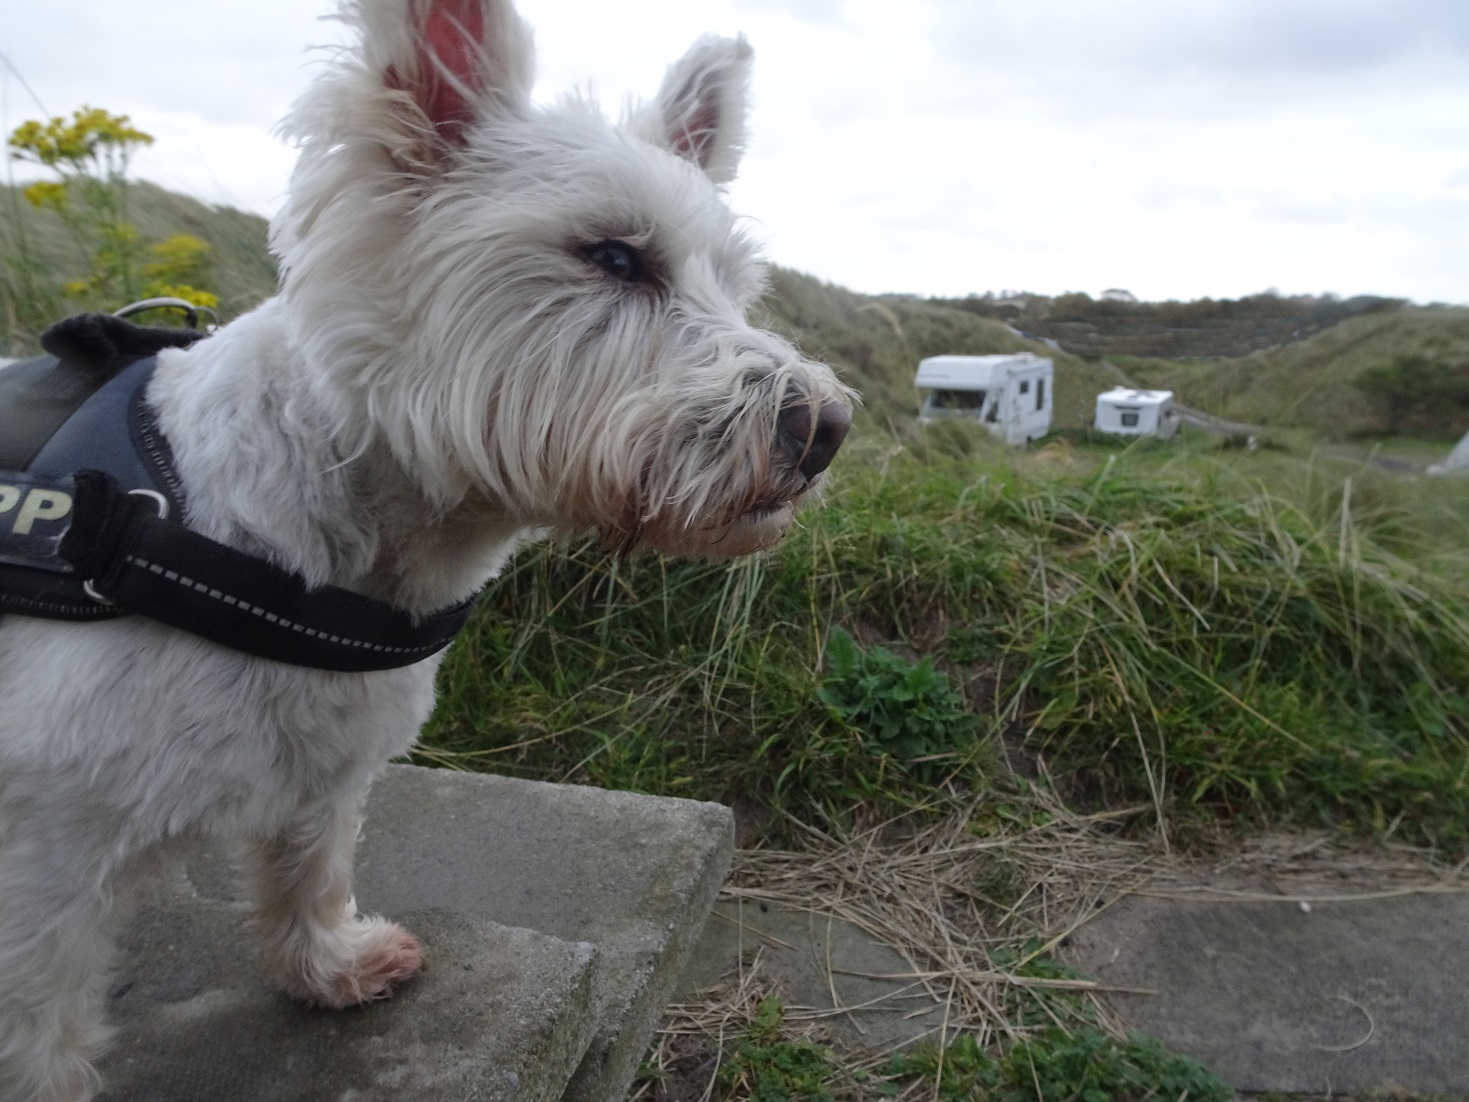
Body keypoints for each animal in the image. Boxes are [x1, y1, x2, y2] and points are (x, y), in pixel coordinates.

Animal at [0, 0, 852, 1099]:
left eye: (737, 284)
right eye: (614, 256)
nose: (825, 428)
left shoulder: (327, 756)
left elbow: (308, 861)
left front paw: (330, 965)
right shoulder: (41, 865)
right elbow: (38, 1038)